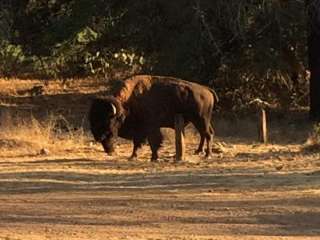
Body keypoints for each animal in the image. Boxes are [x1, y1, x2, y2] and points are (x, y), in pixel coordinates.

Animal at [89, 75, 219, 161]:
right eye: (93, 118)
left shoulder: (149, 128)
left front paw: (152, 157)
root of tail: (207, 89)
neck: (127, 104)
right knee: (205, 134)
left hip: (201, 119)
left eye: (108, 120)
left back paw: (207, 155)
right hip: (199, 121)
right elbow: (139, 143)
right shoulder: (141, 130)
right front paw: (134, 156)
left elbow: (151, 142)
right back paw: (199, 151)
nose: (98, 136)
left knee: (208, 134)